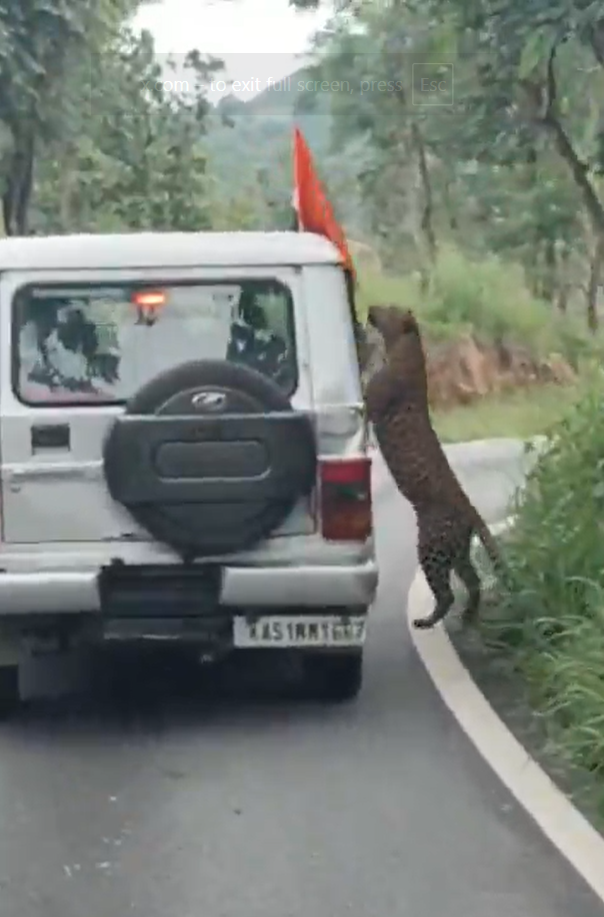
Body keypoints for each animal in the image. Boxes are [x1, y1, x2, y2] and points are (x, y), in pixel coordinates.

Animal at [364, 304, 504, 629]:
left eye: (388, 309)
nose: (371, 308)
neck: (406, 348)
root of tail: (470, 508)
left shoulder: (373, 400)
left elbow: (368, 389)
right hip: (458, 550)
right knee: (473, 581)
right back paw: (466, 618)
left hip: (431, 547)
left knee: (448, 592)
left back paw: (427, 621)